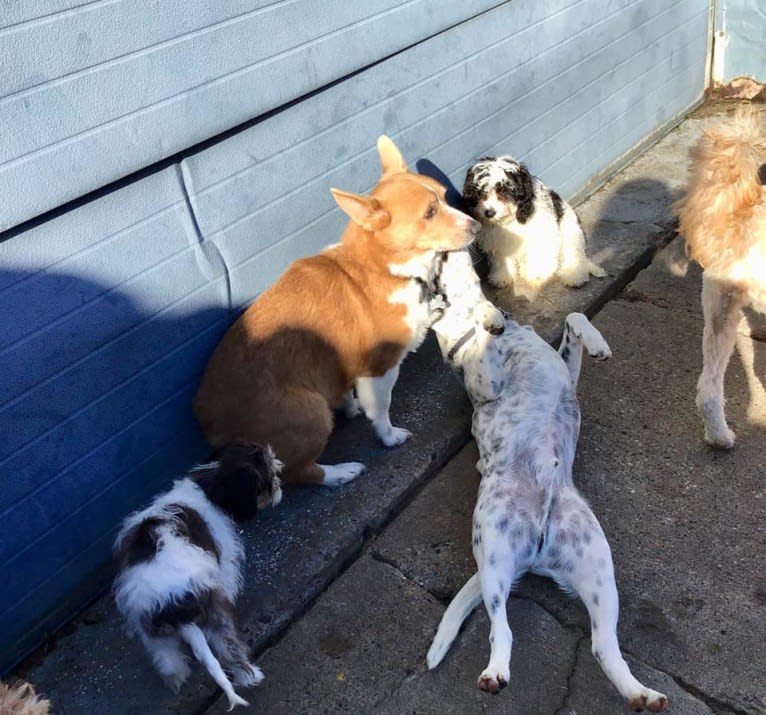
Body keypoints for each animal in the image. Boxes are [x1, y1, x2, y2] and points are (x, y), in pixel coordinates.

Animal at [112, 442, 284, 712]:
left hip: (149, 625)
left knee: (166, 658)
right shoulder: (224, 565)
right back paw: (249, 674)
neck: (208, 485)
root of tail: (174, 601)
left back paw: (176, 677)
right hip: (215, 612)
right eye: (269, 476)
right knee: (228, 647)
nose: (280, 475)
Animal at [428, 249, 668, 712]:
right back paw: (495, 672)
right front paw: (484, 322)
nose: (448, 246)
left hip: (598, 570)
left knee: (603, 647)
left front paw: (598, 344)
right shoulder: (482, 380)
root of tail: (535, 554)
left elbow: (575, 317)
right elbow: (479, 344)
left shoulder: (565, 371)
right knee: (501, 629)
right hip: (494, 557)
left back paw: (642, 694)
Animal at [462, 155, 608, 300]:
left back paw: (574, 276)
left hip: (570, 232)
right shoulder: (497, 240)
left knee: (573, 255)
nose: (489, 213)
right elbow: (501, 258)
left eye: (504, 191)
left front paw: (537, 275)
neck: (511, 219)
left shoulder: (542, 233)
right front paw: (502, 276)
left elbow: (540, 254)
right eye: (481, 193)